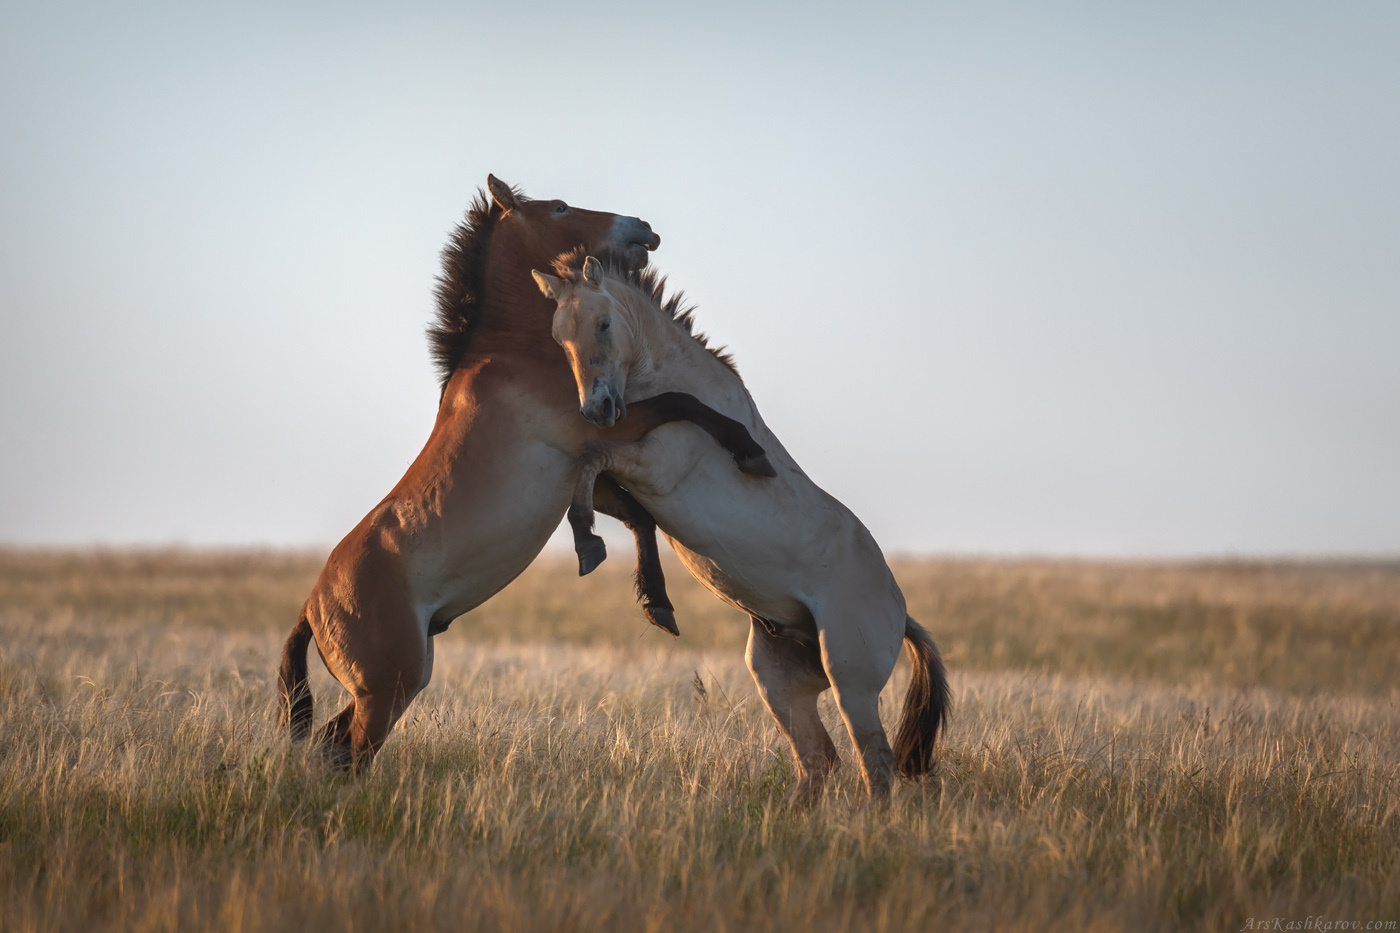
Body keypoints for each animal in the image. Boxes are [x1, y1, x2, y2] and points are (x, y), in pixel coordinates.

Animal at [277, 177, 774, 768]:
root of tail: (312, 608)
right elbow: (684, 405)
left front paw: (652, 599)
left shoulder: (582, 460)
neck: (511, 351)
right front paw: (749, 451)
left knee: (332, 747)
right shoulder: (600, 423)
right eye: (559, 207)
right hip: (388, 689)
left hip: (388, 690)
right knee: (350, 755)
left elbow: (635, 517)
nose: (643, 228)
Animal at [532, 251, 951, 801]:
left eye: (603, 324)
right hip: (778, 681)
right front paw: (648, 594)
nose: (597, 409)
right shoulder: (627, 473)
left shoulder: (652, 467)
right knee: (820, 760)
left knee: (875, 765)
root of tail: (901, 616)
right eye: (560, 336)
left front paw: (588, 545)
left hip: (851, 685)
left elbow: (593, 460)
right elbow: (601, 482)